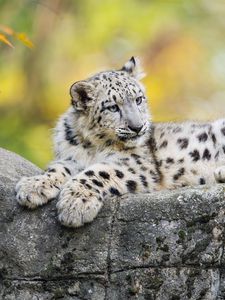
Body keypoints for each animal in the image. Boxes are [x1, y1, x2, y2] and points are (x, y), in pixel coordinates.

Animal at [15, 56, 225, 227]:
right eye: (113, 107)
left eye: (139, 99)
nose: (138, 127)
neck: (92, 147)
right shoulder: (71, 158)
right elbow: (58, 168)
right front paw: (33, 186)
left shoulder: (136, 162)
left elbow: (98, 172)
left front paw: (74, 203)